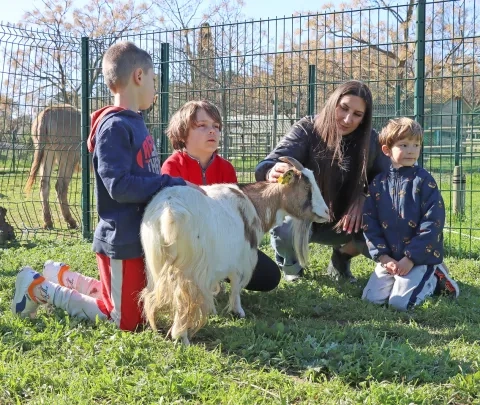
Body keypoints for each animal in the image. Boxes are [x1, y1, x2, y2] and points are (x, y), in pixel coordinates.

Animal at [140, 156, 330, 342]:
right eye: (307, 186)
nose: (327, 212)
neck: (254, 205)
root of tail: (168, 211)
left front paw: (215, 308)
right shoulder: (241, 258)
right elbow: (236, 285)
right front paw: (238, 311)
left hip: (155, 263)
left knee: (154, 294)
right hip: (189, 268)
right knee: (184, 299)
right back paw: (182, 336)